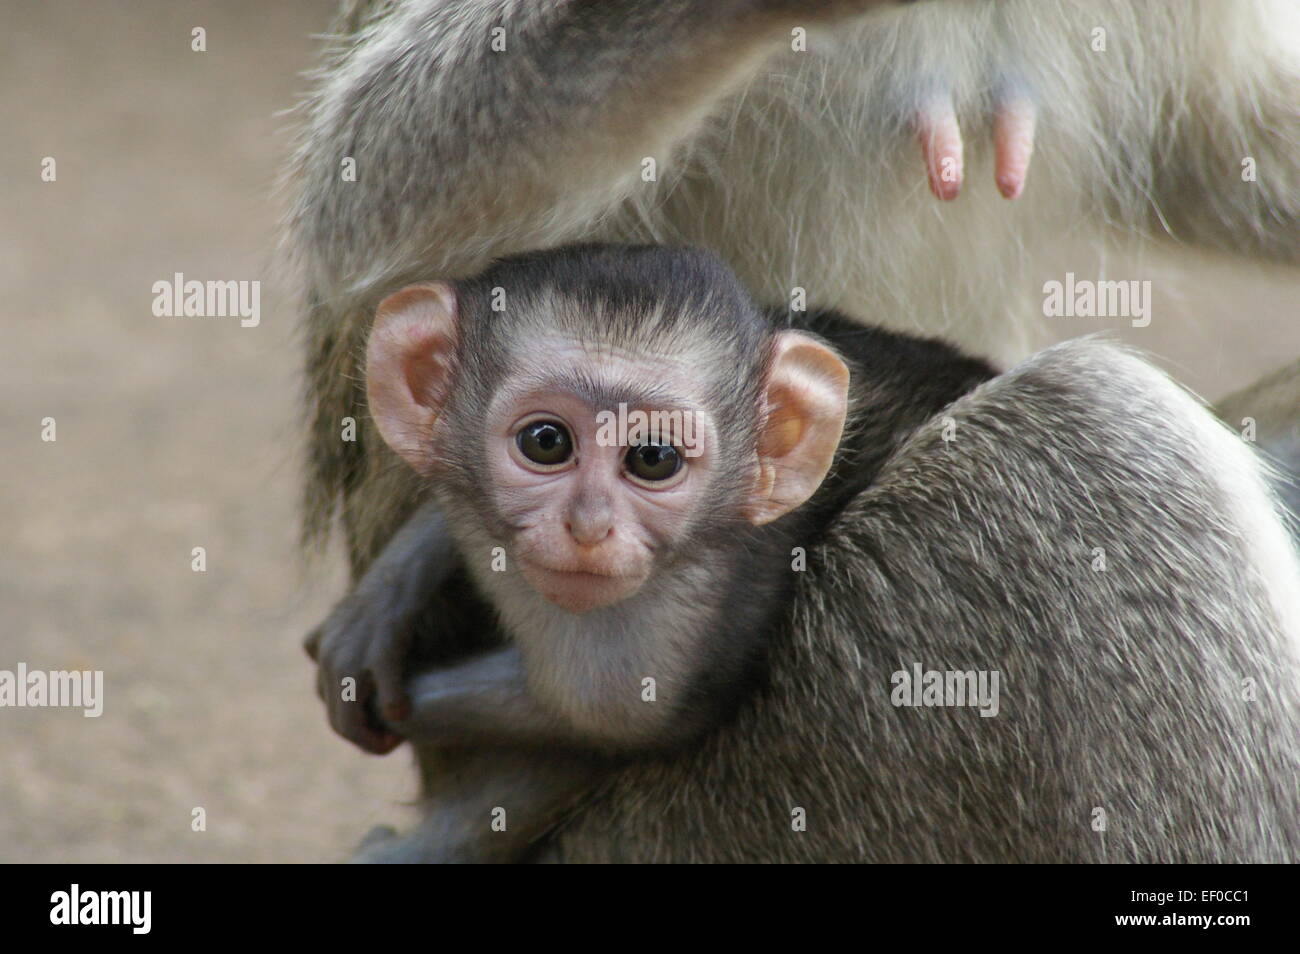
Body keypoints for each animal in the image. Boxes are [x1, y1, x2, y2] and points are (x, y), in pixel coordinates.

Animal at [307, 243, 999, 861]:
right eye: (546, 441)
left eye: (653, 458)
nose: (589, 527)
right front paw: (386, 596)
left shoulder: (698, 600)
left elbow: (607, 715)